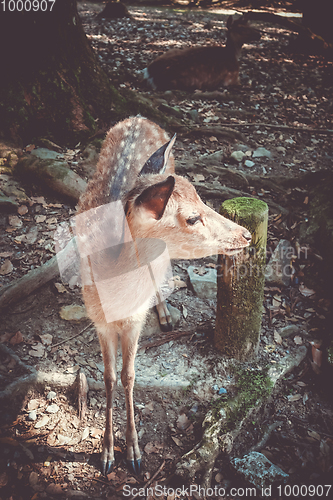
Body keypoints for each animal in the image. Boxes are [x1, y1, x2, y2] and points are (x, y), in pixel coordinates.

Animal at [76, 115, 250, 474]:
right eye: (192, 217)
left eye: (202, 198)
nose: (246, 234)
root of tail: (139, 118)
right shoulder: (99, 320)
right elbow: (109, 377)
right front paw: (107, 454)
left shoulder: (135, 321)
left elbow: (129, 376)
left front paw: (133, 453)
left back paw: (167, 315)